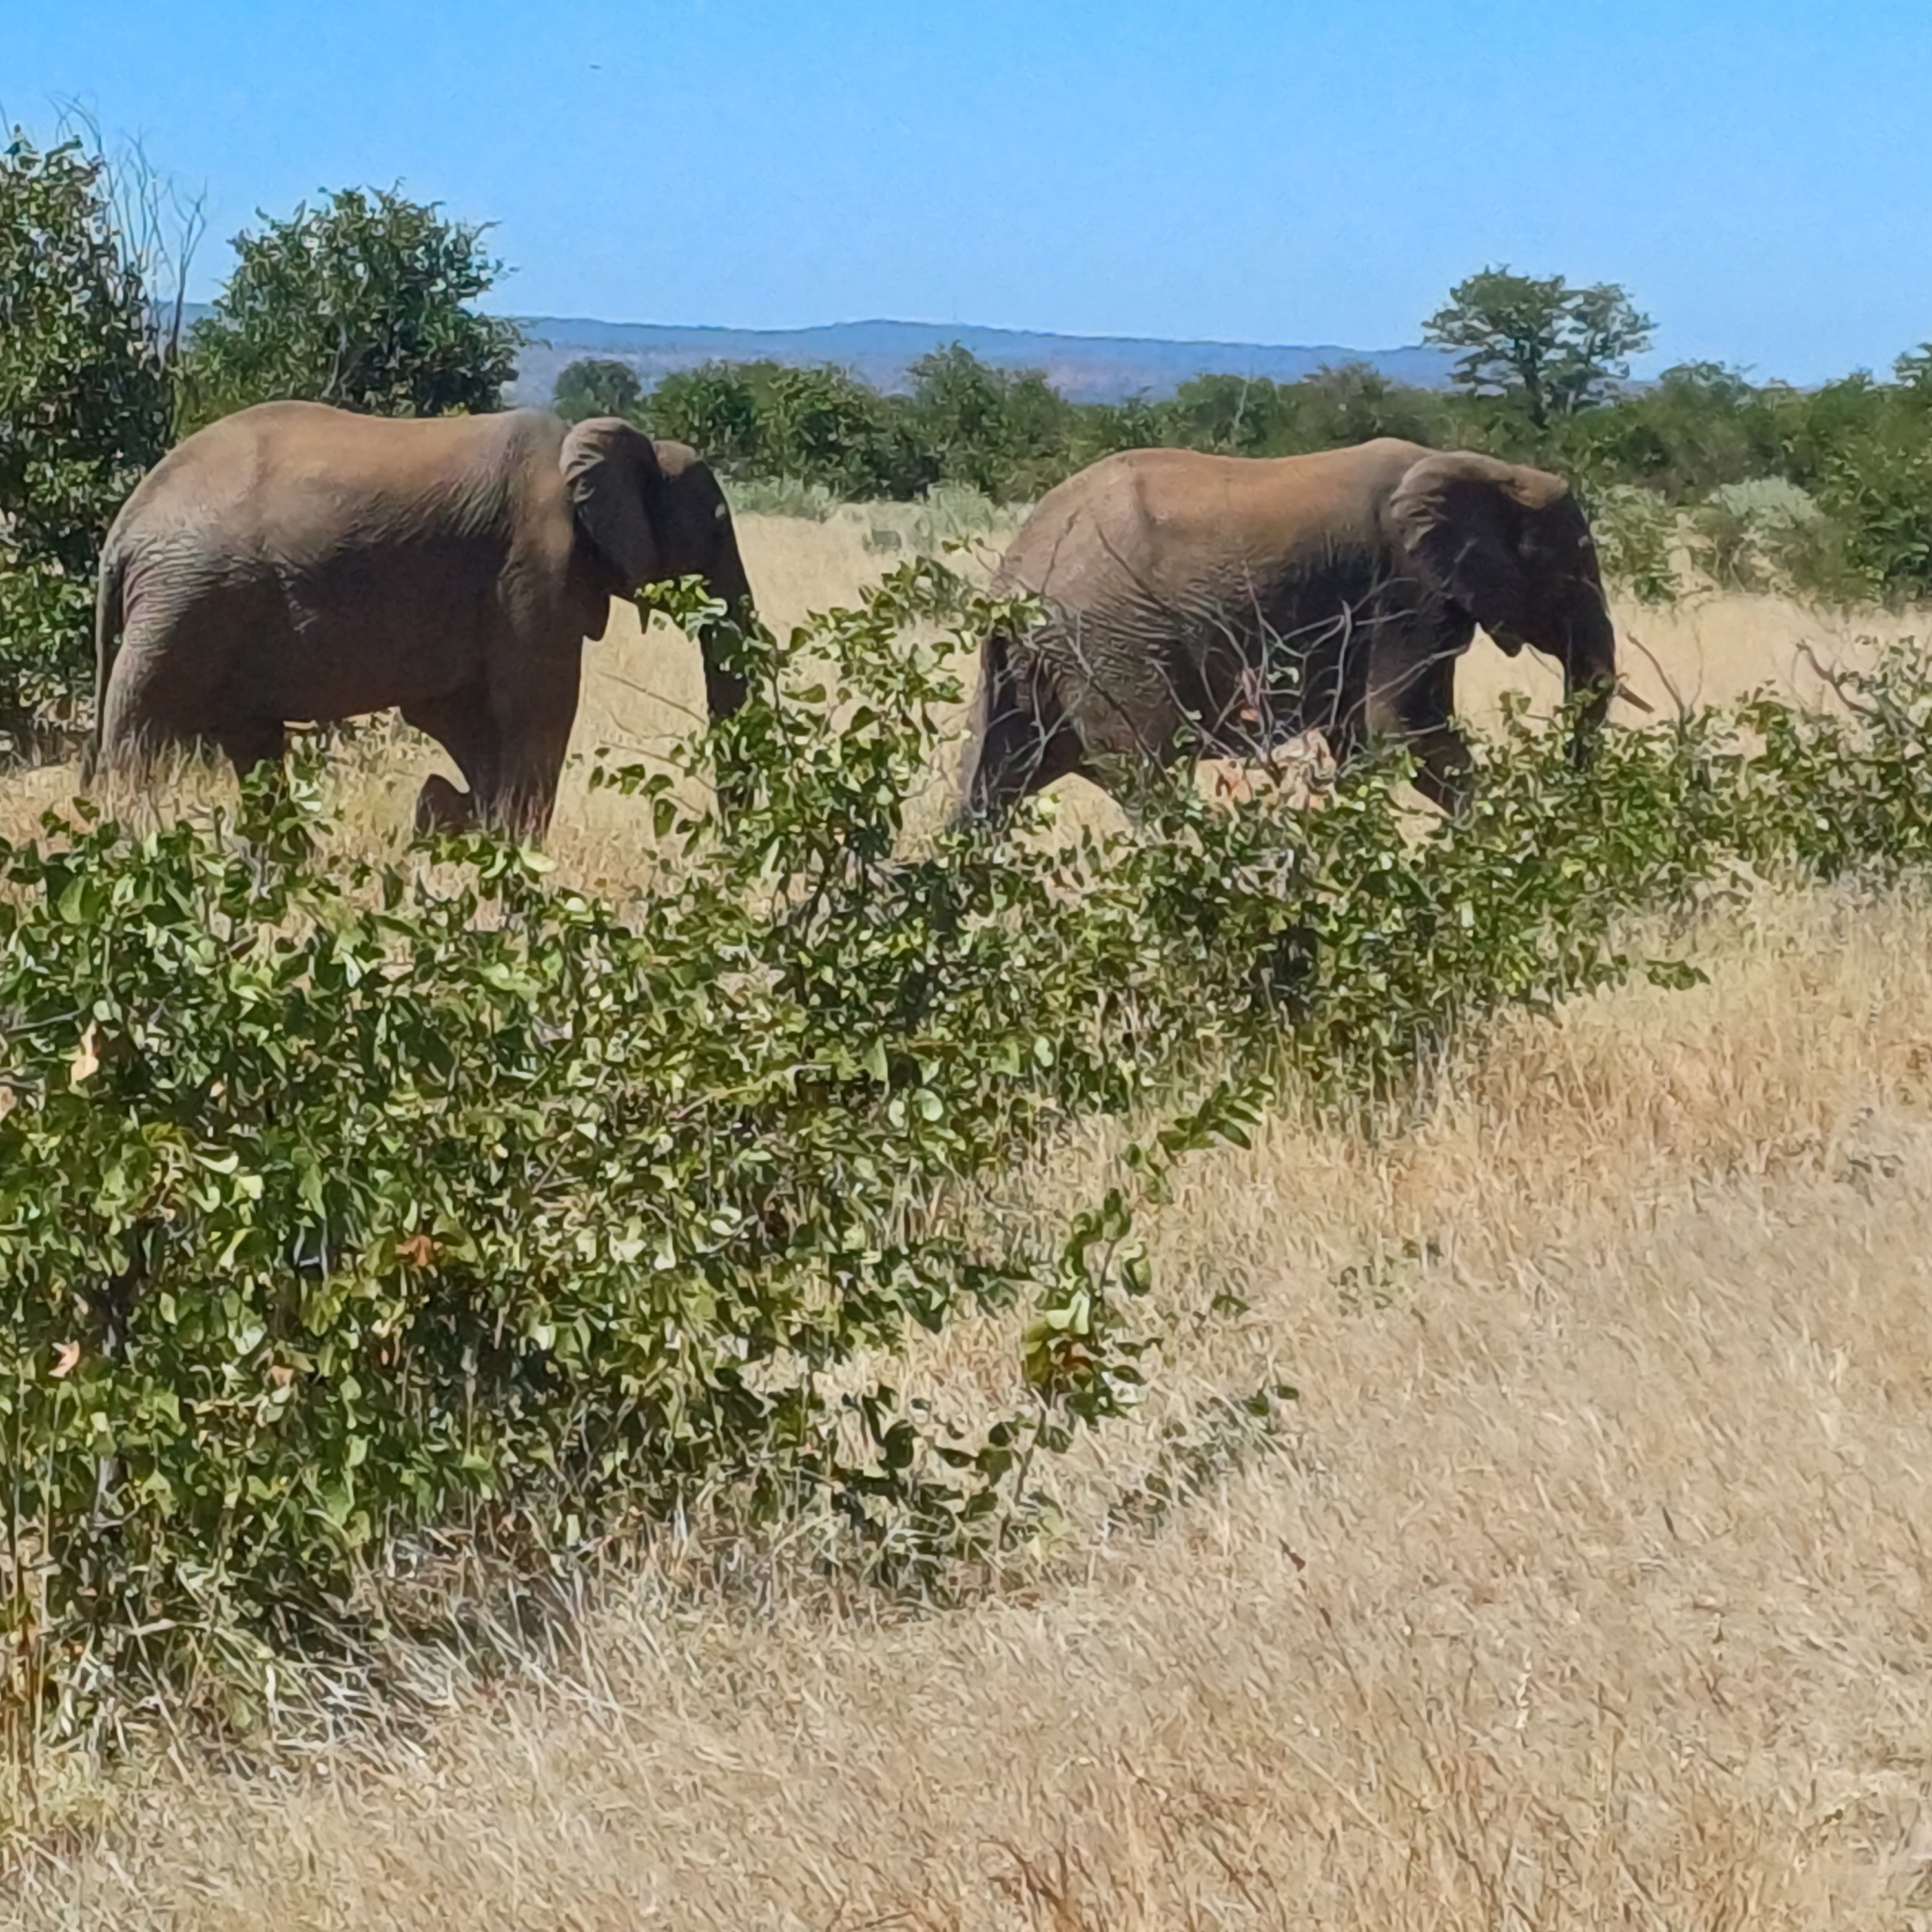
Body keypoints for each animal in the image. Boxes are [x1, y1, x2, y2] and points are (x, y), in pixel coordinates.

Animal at [88, 400, 753, 838]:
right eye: (720, 525)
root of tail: (122, 530)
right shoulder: (533, 568)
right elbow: (537, 707)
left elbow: (456, 715)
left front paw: (454, 814)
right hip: (184, 600)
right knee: (140, 730)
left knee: (252, 744)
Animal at [962, 438, 1615, 823]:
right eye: (1574, 571)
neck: (1490, 470)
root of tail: (1014, 572)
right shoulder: (1407, 592)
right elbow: (1402, 729)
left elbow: (1362, 739)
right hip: (1112, 648)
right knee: (1150, 779)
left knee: (989, 782)